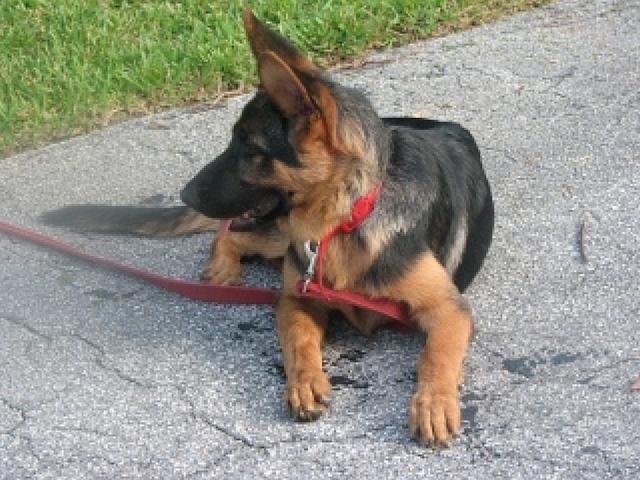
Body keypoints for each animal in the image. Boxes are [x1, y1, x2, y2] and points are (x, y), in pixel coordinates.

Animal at [43, 10, 493, 446]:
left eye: (250, 148)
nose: (186, 193)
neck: (347, 218)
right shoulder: (297, 298)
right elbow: (298, 340)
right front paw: (305, 382)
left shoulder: (450, 310)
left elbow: (435, 356)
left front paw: (433, 404)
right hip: (277, 234)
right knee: (228, 234)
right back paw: (223, 266)